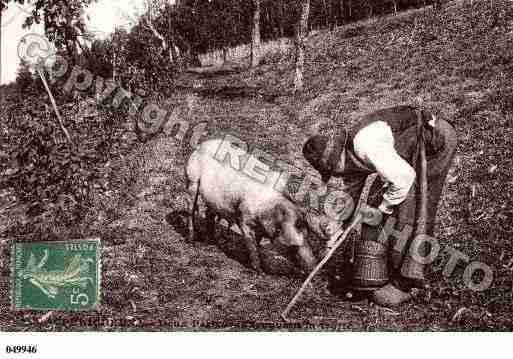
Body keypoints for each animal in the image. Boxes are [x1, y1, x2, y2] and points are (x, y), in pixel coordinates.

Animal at [184, 138, 336, 272]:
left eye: (307, 237)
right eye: (293, 246)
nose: (313, 267)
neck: (268, 208)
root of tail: (201, 144)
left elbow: (257, 242)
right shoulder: (243, 218)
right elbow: (251, 243)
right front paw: (258, 270)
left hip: (214, 199)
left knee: (209, 213)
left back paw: (213, 241)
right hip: (192, 180)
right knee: (191, 209)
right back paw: (191, 240)